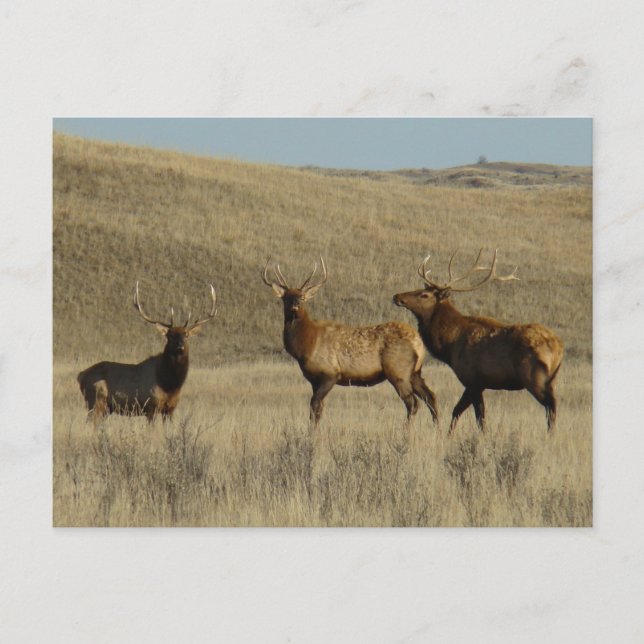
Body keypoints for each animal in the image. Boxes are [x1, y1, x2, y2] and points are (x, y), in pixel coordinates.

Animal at [77, 282, 216, 422]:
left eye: (186, 334)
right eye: (170, 335)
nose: (180, 346)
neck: (169, 384)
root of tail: (80, 376)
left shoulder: (170, 409)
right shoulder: (150, 406)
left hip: (106, 408)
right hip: (95, 401)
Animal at [262, 256, 439, 428]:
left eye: (302, 296)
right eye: (286, 297)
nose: (295, 305)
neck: (305, 346)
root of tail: (418, 342)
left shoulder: (330, 373)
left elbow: (314, 405)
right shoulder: (314, 379)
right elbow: (318, 411)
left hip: (398, 370)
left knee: (412, 403)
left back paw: (406, 431)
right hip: (414, 372)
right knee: (431, 397)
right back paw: (437, 428)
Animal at [393, 249, 564, 433]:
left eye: (424, 295)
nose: (397, 296)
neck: (449, 346)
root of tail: (558, 347)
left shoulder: (472, 379)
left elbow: (469, 414)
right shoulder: (479, 384)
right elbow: (472, 415)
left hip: (534, 377)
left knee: (551, 405)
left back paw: (551, 435)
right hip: (552, 379)